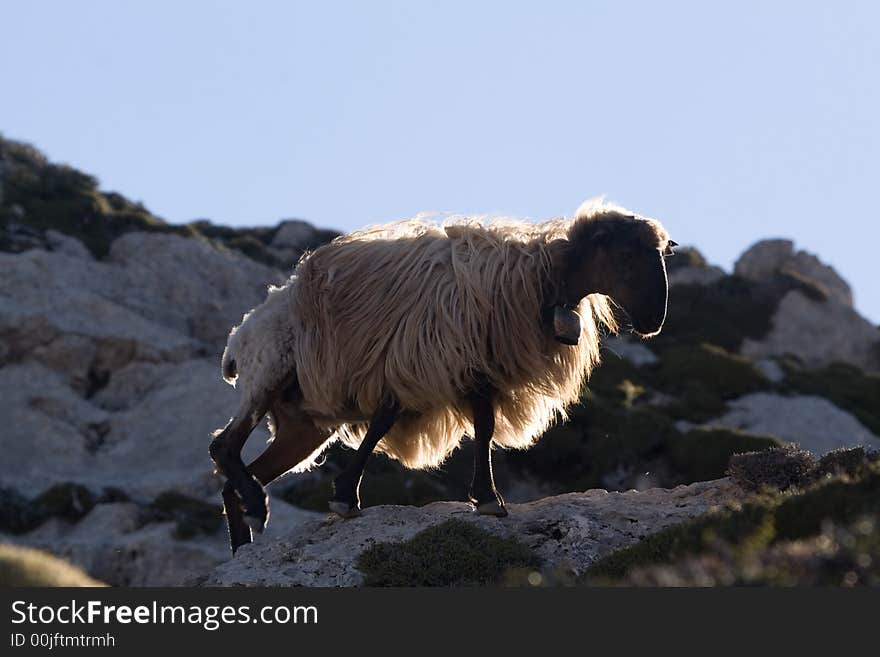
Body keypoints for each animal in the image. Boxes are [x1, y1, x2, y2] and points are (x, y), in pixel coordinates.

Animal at [211, 199, 672, 548]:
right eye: (626, 254)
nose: (654, 320)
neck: (539, 278)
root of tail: (239, 336)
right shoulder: (412, 361)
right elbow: (383, 422)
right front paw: (345, 497)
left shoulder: (474, 369)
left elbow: (484, 427)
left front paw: (486, 497)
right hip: (268, 372)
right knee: (224, 448)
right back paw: (255, 509)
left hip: (302, 426)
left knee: (235, 477)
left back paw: (242, 546)